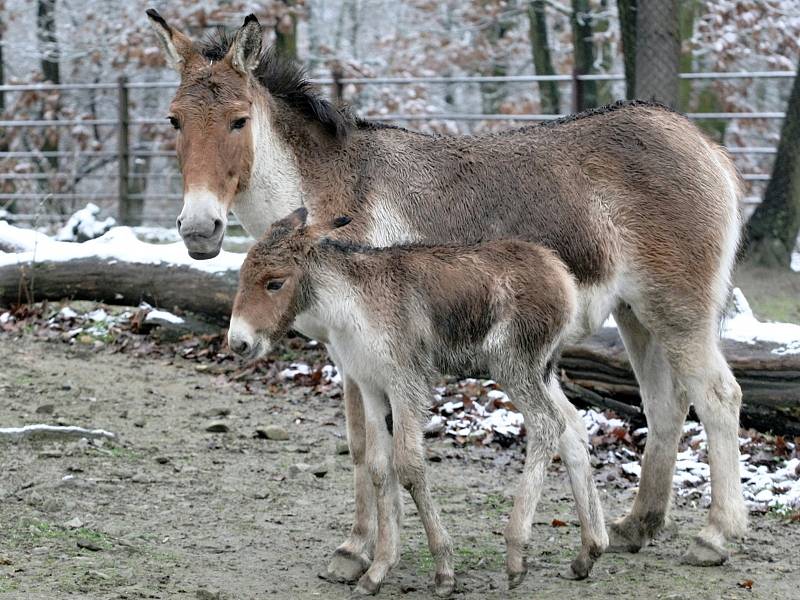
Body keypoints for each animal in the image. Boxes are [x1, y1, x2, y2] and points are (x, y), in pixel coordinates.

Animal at [227, 207, 608, 596]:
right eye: (242, 275)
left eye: (275, 282)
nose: (238, 343)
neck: (349, 308)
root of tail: (560, 274)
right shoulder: (371, 386)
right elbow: (379, 469)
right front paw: (378, 568)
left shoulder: (406, 384)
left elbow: (409, 467)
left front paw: (443, 570)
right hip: (541, 372)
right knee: (572, 428)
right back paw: (588, 552)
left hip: (513, 366)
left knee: (547, 425)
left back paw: (517, 553)